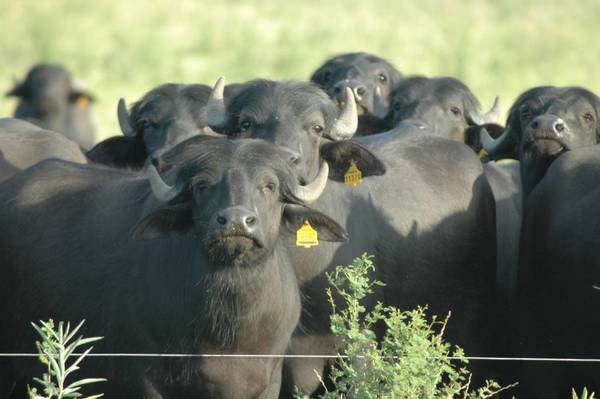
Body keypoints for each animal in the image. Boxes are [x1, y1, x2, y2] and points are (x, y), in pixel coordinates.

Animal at [0, 136, 350, 398]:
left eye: (269, 186)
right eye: (201, 186)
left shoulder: (270, 380)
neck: (229, 327)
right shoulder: (145, 379)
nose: (236, 221)